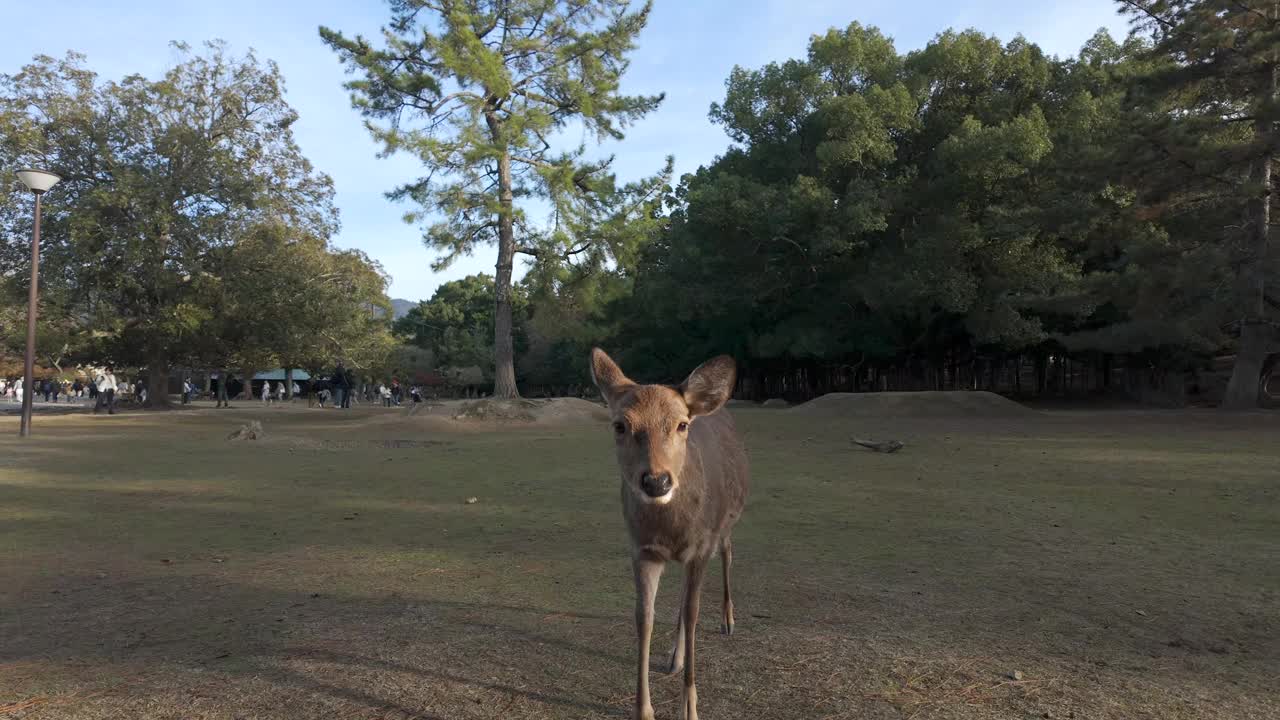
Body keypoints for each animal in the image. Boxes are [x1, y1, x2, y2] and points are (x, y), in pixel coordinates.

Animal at [588, 348, 747, 717]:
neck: (672, 528)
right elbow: (644, 617)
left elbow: (693, 613)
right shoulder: (641, 549)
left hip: (726, 522)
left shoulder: (701, 547)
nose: (657, 481)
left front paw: (689, 708)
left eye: (681, 424)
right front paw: (643, 709)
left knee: (728, 552)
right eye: (620, 425)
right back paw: (675, 657)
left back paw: (727, 620)